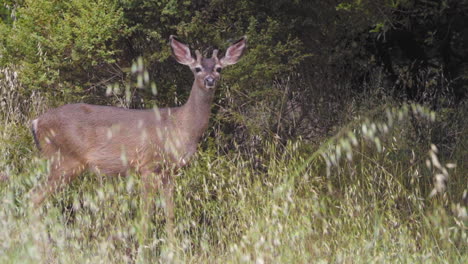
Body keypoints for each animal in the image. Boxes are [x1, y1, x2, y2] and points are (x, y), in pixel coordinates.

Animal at [28, 34, 247, 238]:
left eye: (219, 68)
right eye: (197, 69)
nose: (210, 80)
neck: (180, 126)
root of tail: (36, 122)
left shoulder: (170, 171)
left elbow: (170, 212)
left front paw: (173, 246)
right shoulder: (147, 165)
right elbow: (145, 213)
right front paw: (144, 245)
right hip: (65, 160)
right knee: (34, 197)